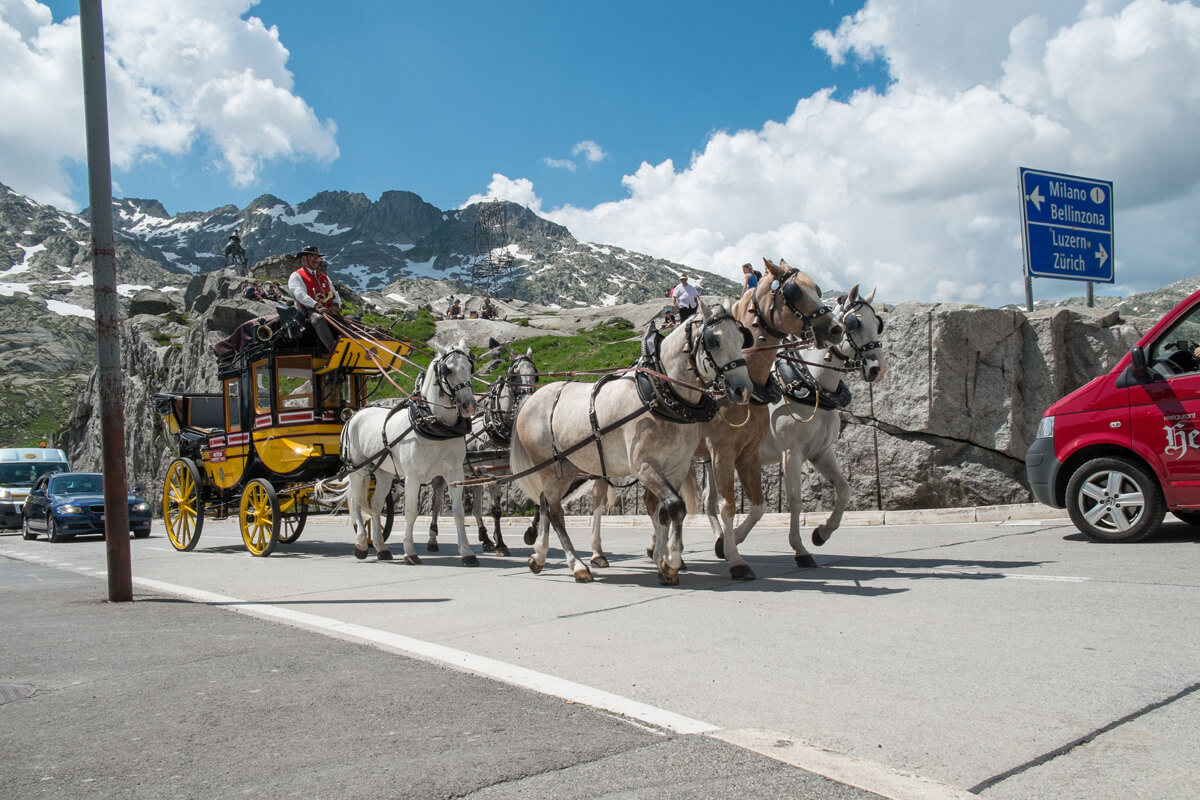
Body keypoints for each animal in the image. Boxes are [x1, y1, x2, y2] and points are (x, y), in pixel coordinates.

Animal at [338, 340, 477, 566]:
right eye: (448, 369)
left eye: (470, 367)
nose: (468, 405)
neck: (434, 424)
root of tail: (354, 415)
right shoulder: (413, 477)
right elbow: (411, 513)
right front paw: (410, 552)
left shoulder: (455, 474)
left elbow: (459, 513)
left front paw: (467, 552)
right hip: (357, 470)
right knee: (355, 503)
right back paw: (361, 545)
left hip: (383, 474)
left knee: (375, 505)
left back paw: (381, 548)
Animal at [511, 303, 753, 585]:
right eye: (714, 340)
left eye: (742, 338)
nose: (743, 389)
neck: (658, 394)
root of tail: (530, 400)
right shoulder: (644, 467)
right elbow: (676, 506)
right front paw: (671, 560)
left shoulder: (676, 468)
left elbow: (665, 511)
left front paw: (663, 561)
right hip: (550, 468)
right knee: (556, 512)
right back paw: (577, 565)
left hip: (567, 469)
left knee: (545, 504)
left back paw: (539, 556)